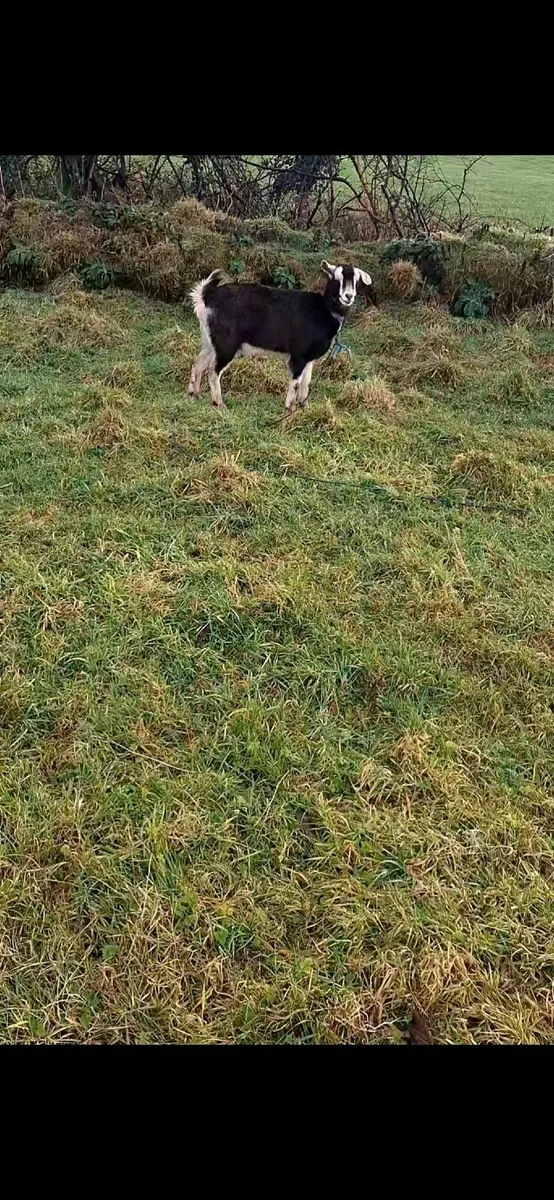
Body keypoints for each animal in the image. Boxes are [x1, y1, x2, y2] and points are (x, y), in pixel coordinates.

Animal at [188, 261, 376, 417]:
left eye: (356, 280)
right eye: (336, 278)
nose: (348, 296)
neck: (326, 310)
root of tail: (206, 297)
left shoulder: (309, 358)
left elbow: (306, 382)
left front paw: (304, 406)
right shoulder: (298, 355)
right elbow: (296, 382)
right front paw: (289, 409)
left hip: (211, 341)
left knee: (198, 363)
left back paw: (194, 395)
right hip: (227, 344)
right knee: (213, 371)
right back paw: (219, 404)